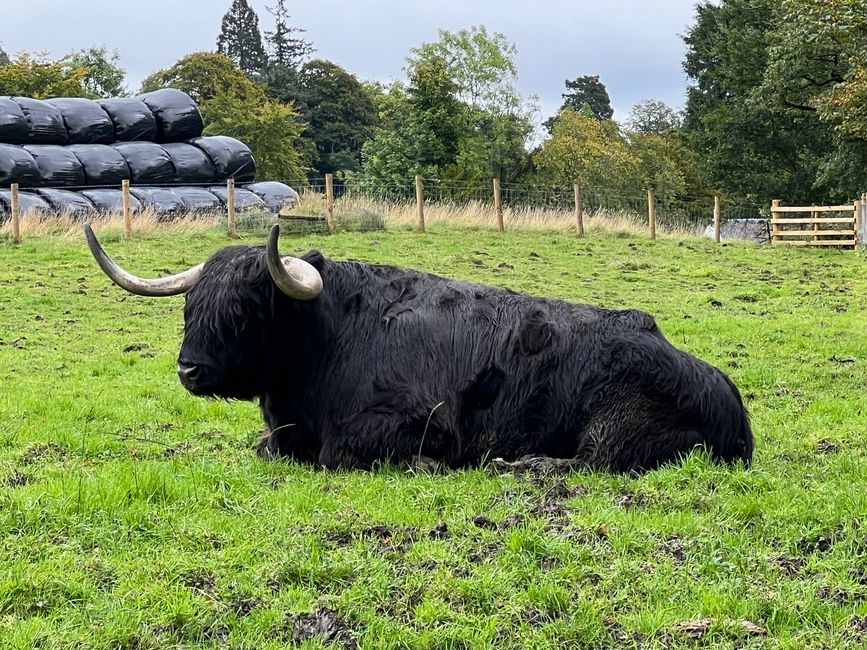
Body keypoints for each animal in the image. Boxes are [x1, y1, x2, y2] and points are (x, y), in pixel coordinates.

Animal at [86, 225, 752, 468]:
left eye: (245, 311)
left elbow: (340, 453)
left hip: (615, 428)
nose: (189, 370)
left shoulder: (417, 422)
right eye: (190, 309)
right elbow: (267, 448)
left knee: (591, 461)